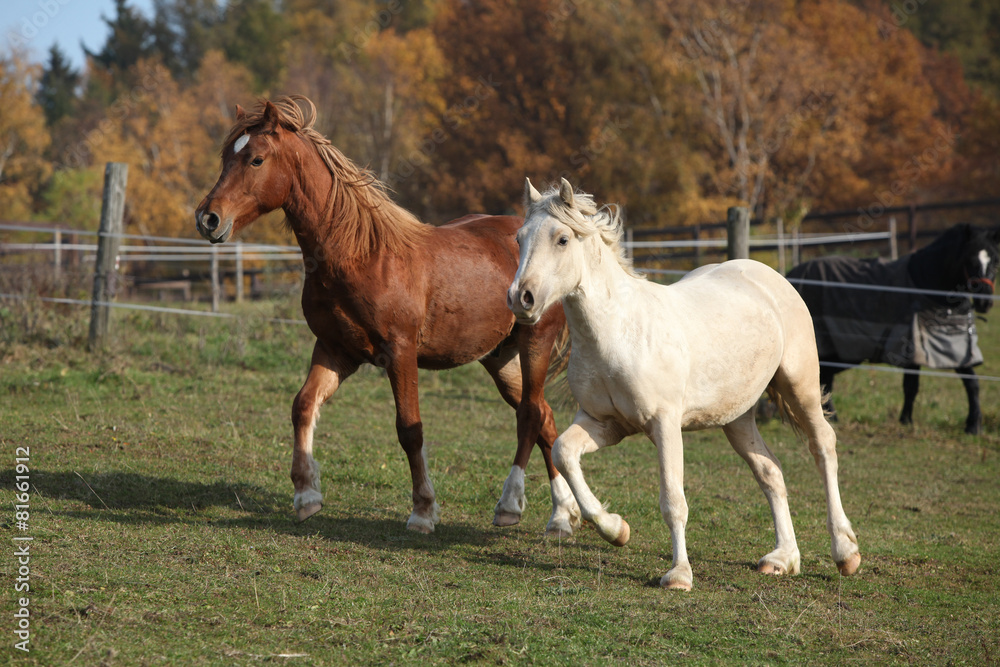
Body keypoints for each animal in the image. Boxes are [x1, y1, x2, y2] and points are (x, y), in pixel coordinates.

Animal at [194, 96, 580, 536]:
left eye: (256, 159)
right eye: (226, 157)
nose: (207, 218)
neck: (361, 254)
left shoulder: (400, 353)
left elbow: (409, 430)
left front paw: (423, 511)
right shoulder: (335, 350)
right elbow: (303, 405)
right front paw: (306, 495)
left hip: (535, 344)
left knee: (531, 416)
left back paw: (512, 506)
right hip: (501, 359)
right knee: (545, 418)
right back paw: (563, 516)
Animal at [508, 177, 860, 588]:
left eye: (562, 239)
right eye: (519, 238)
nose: (520, 298)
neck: (618, 331)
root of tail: (767, 275)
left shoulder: (664, 424)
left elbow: (673, 501)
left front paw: (678, 574)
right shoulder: (604, 423)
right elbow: (564, 452)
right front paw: (616, 529)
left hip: (799, 386)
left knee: (823, 447)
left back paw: (845, 552)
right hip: (736, 418)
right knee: (770, 472)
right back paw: (782, 558)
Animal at [788, 222, 1000, 436]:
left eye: (995, 261)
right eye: (970, 259)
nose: (985, 302)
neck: (926, 284)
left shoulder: (953, 345)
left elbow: (971, 382)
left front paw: (973, 425)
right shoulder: (912, 346)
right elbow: (911, 386)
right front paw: (907, 420)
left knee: (825, 378)